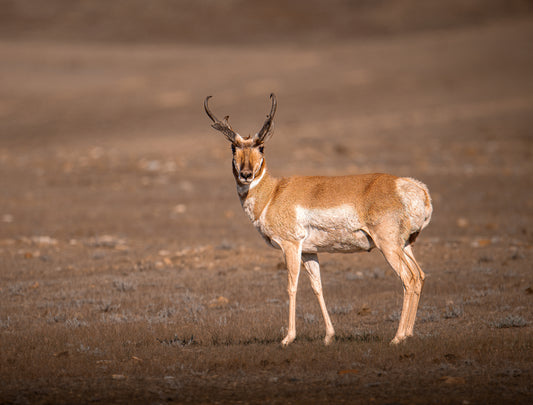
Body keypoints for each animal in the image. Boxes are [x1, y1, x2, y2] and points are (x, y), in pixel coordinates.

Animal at [204, 94, 432, 344]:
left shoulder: (291, 246)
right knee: (419, 276)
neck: (273, 193)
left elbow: (291, 286)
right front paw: (329, 336)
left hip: (388, 245)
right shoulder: (309, 251)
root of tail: (414, 187)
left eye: (261, 147)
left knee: (408, 278)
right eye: (233, 147)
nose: (246, 175)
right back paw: (408, 333)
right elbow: (317, 287)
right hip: (405, 245)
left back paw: (397, 337)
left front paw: (288, 338)